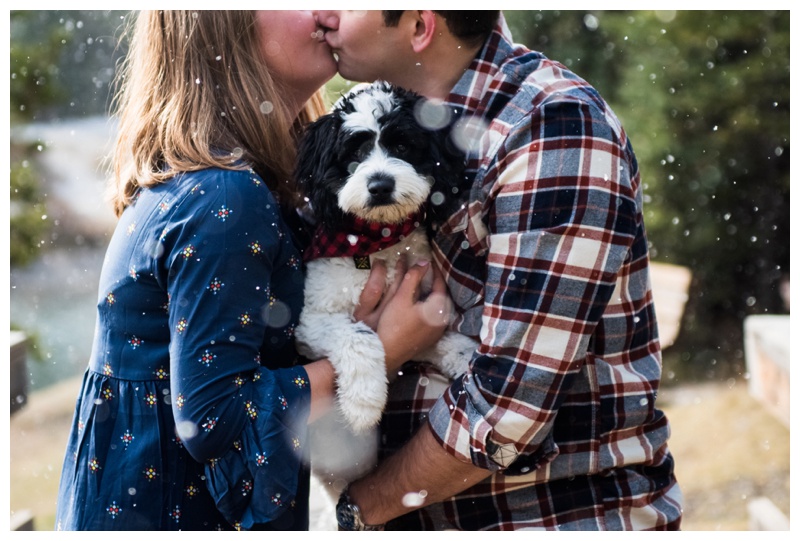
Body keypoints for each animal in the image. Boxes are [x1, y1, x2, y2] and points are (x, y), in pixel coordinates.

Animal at [296, 81, 478, 494]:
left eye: (403, 146)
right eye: (354, 151)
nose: (380, 185)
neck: (377, 242)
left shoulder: (421, 312)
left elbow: (447, 341)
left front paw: (467, 358)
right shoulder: (310, 319)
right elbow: (359, 336)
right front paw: (364, 400)